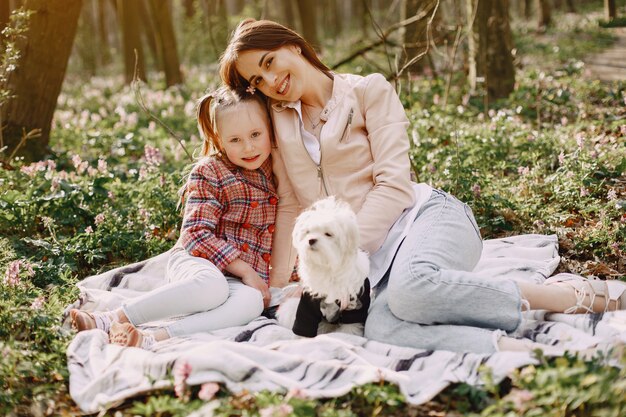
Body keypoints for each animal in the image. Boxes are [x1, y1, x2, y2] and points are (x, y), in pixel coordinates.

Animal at [276, 197, 368, 336]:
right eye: (307, 232)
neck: (328, 266)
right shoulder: (308, 304)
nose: (311, 240)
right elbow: (305, 323)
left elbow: (350, 327)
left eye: (328, 234)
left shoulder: (356, 304)